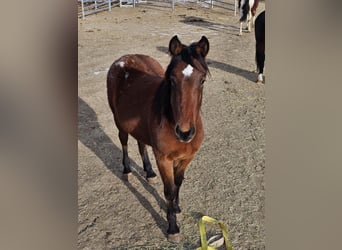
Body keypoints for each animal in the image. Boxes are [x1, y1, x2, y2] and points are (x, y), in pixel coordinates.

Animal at [107, 35, 210, 242]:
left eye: (202, 80)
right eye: (172, 80)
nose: (185, 133)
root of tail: (123, 59)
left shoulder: (186, 158)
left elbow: (178, 183)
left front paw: (177, 208)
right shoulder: (163, 159)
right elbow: (169, 191)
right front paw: (172, 228)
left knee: (141, 144)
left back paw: (149, 172)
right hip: (119, 124)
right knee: (124, 142)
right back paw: (127, 170)